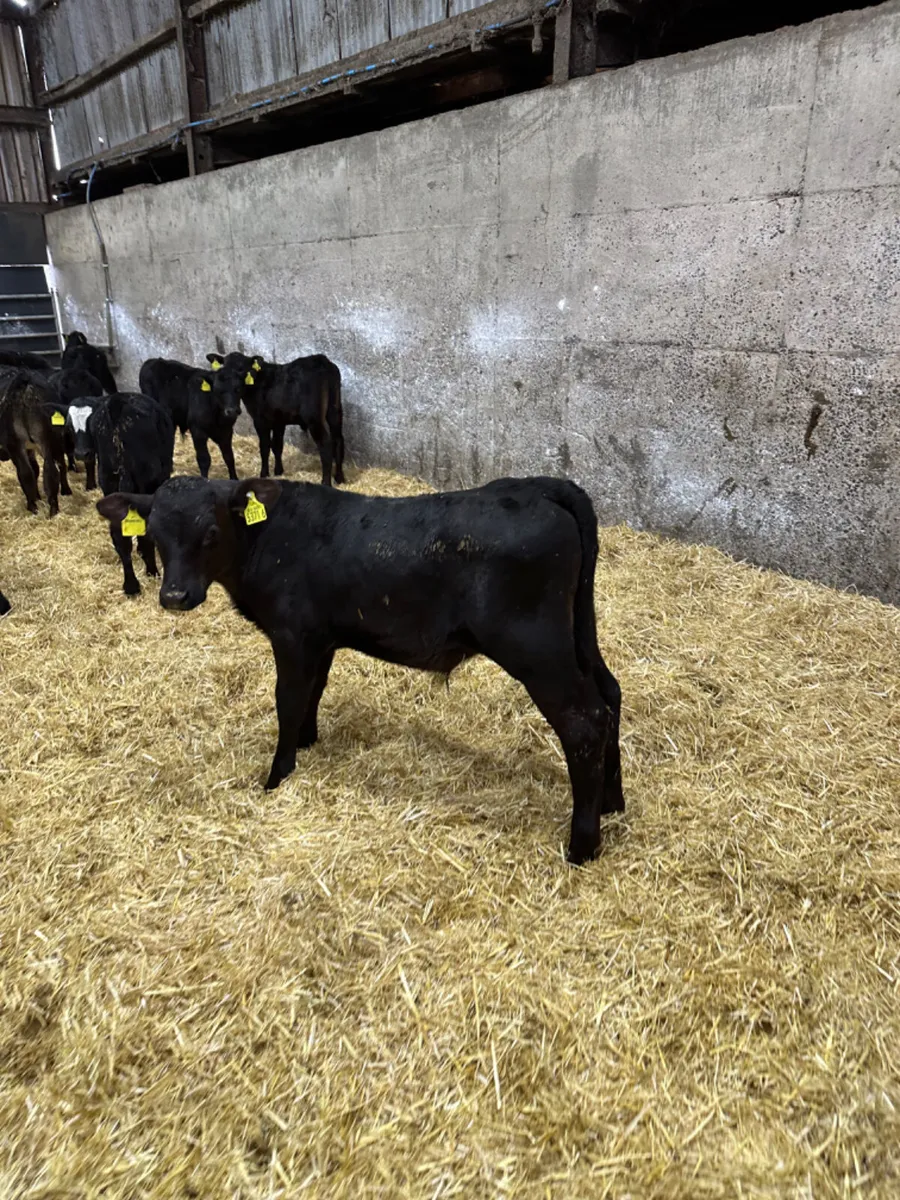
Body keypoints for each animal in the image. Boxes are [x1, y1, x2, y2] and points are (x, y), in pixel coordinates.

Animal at [0, 372, 67, 514]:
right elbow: (35, 469)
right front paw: (38, 496)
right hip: (46, 440)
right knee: (49, 471)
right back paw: (52, 509)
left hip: (22, 444)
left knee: (29, 472)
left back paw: (33, 506)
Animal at [87, 394, 175, 594]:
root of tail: (116, 403)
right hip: (145, 480)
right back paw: (152, 572)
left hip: (108, 478)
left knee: (119, 535)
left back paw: (131, 585)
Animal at [96, 474, 624, 864]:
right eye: (154, 535)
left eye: (210, 533)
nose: (174, 597)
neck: (268, 537)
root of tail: (540, 487)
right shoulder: (321, 638)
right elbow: (313, 691)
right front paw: (306, 742)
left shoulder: (292, 635)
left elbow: (288, 700)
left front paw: (276, 775)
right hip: (577, 633)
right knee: (611, 694)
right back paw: (612, 804)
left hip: (534, 647)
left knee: (584, 721)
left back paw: (582, 846)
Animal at [207, 351, 344, 487]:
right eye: (225, 366)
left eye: (241, 369)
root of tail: (322, 361)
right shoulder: (279, 420)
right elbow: (277, 446)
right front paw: (278, 471)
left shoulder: (260, 419)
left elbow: (265, 446)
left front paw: (264, 474)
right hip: (335, 410)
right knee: (338, 440)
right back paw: (339, 478)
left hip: (314, 418)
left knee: (325, 444)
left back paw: (326, 482)